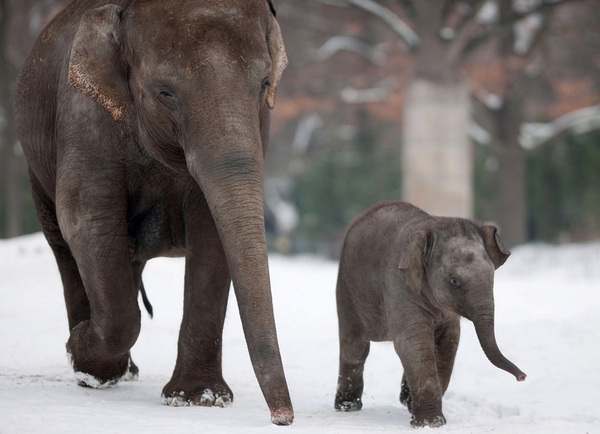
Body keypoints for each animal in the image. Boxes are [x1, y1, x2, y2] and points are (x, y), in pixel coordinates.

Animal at [14, 0, 292, 426]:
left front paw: (199, 399)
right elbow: (87, 220)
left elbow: (212, 233)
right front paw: (82, 357)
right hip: (36, 167)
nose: (283, 417)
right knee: (65, 247)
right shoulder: (84, 118)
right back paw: (90, 365)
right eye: (165, 92)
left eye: (264, 84)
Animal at [332, 202, 524, 428]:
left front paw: (413, 407)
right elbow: (413, 342)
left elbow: (447, 343)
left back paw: (403, 399)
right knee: (355, 347)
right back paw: (347, 406)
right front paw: (431, 424)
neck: (432, 224)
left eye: (492, 276)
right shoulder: (398, 283)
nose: (522, 377)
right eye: (454, 282)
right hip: (347, 290)